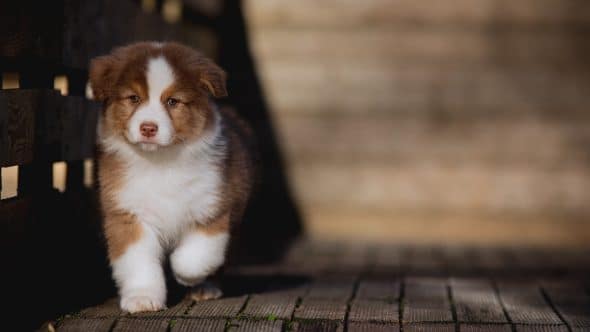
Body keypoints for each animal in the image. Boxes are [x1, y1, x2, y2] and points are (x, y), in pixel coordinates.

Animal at [89, 42, 254, 314]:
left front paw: (184, 275)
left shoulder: (213, 207)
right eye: (134, 98)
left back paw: (205, 288)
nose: (148, 128)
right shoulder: (128, 214)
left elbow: (196, 257)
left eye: (173, 101)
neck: (161, 162)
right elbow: (138, 261)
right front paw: (142, 299)